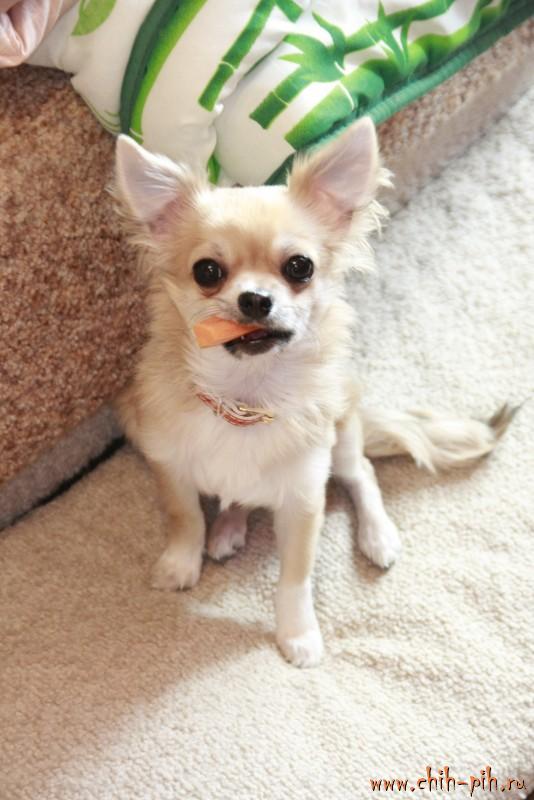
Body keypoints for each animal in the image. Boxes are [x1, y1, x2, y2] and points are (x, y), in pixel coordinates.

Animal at [114, 118, 512, 667]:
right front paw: (181, 563)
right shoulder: (170, 467)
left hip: (342, 436)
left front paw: (298, 635)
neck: (247, 399)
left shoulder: (304, 499)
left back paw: (377, 536)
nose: (255, 299)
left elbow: (294, 577)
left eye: (299, 267)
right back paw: (229, 527)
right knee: (242, 498)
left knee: (362, 473)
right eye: (207, 271)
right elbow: (186, 517)